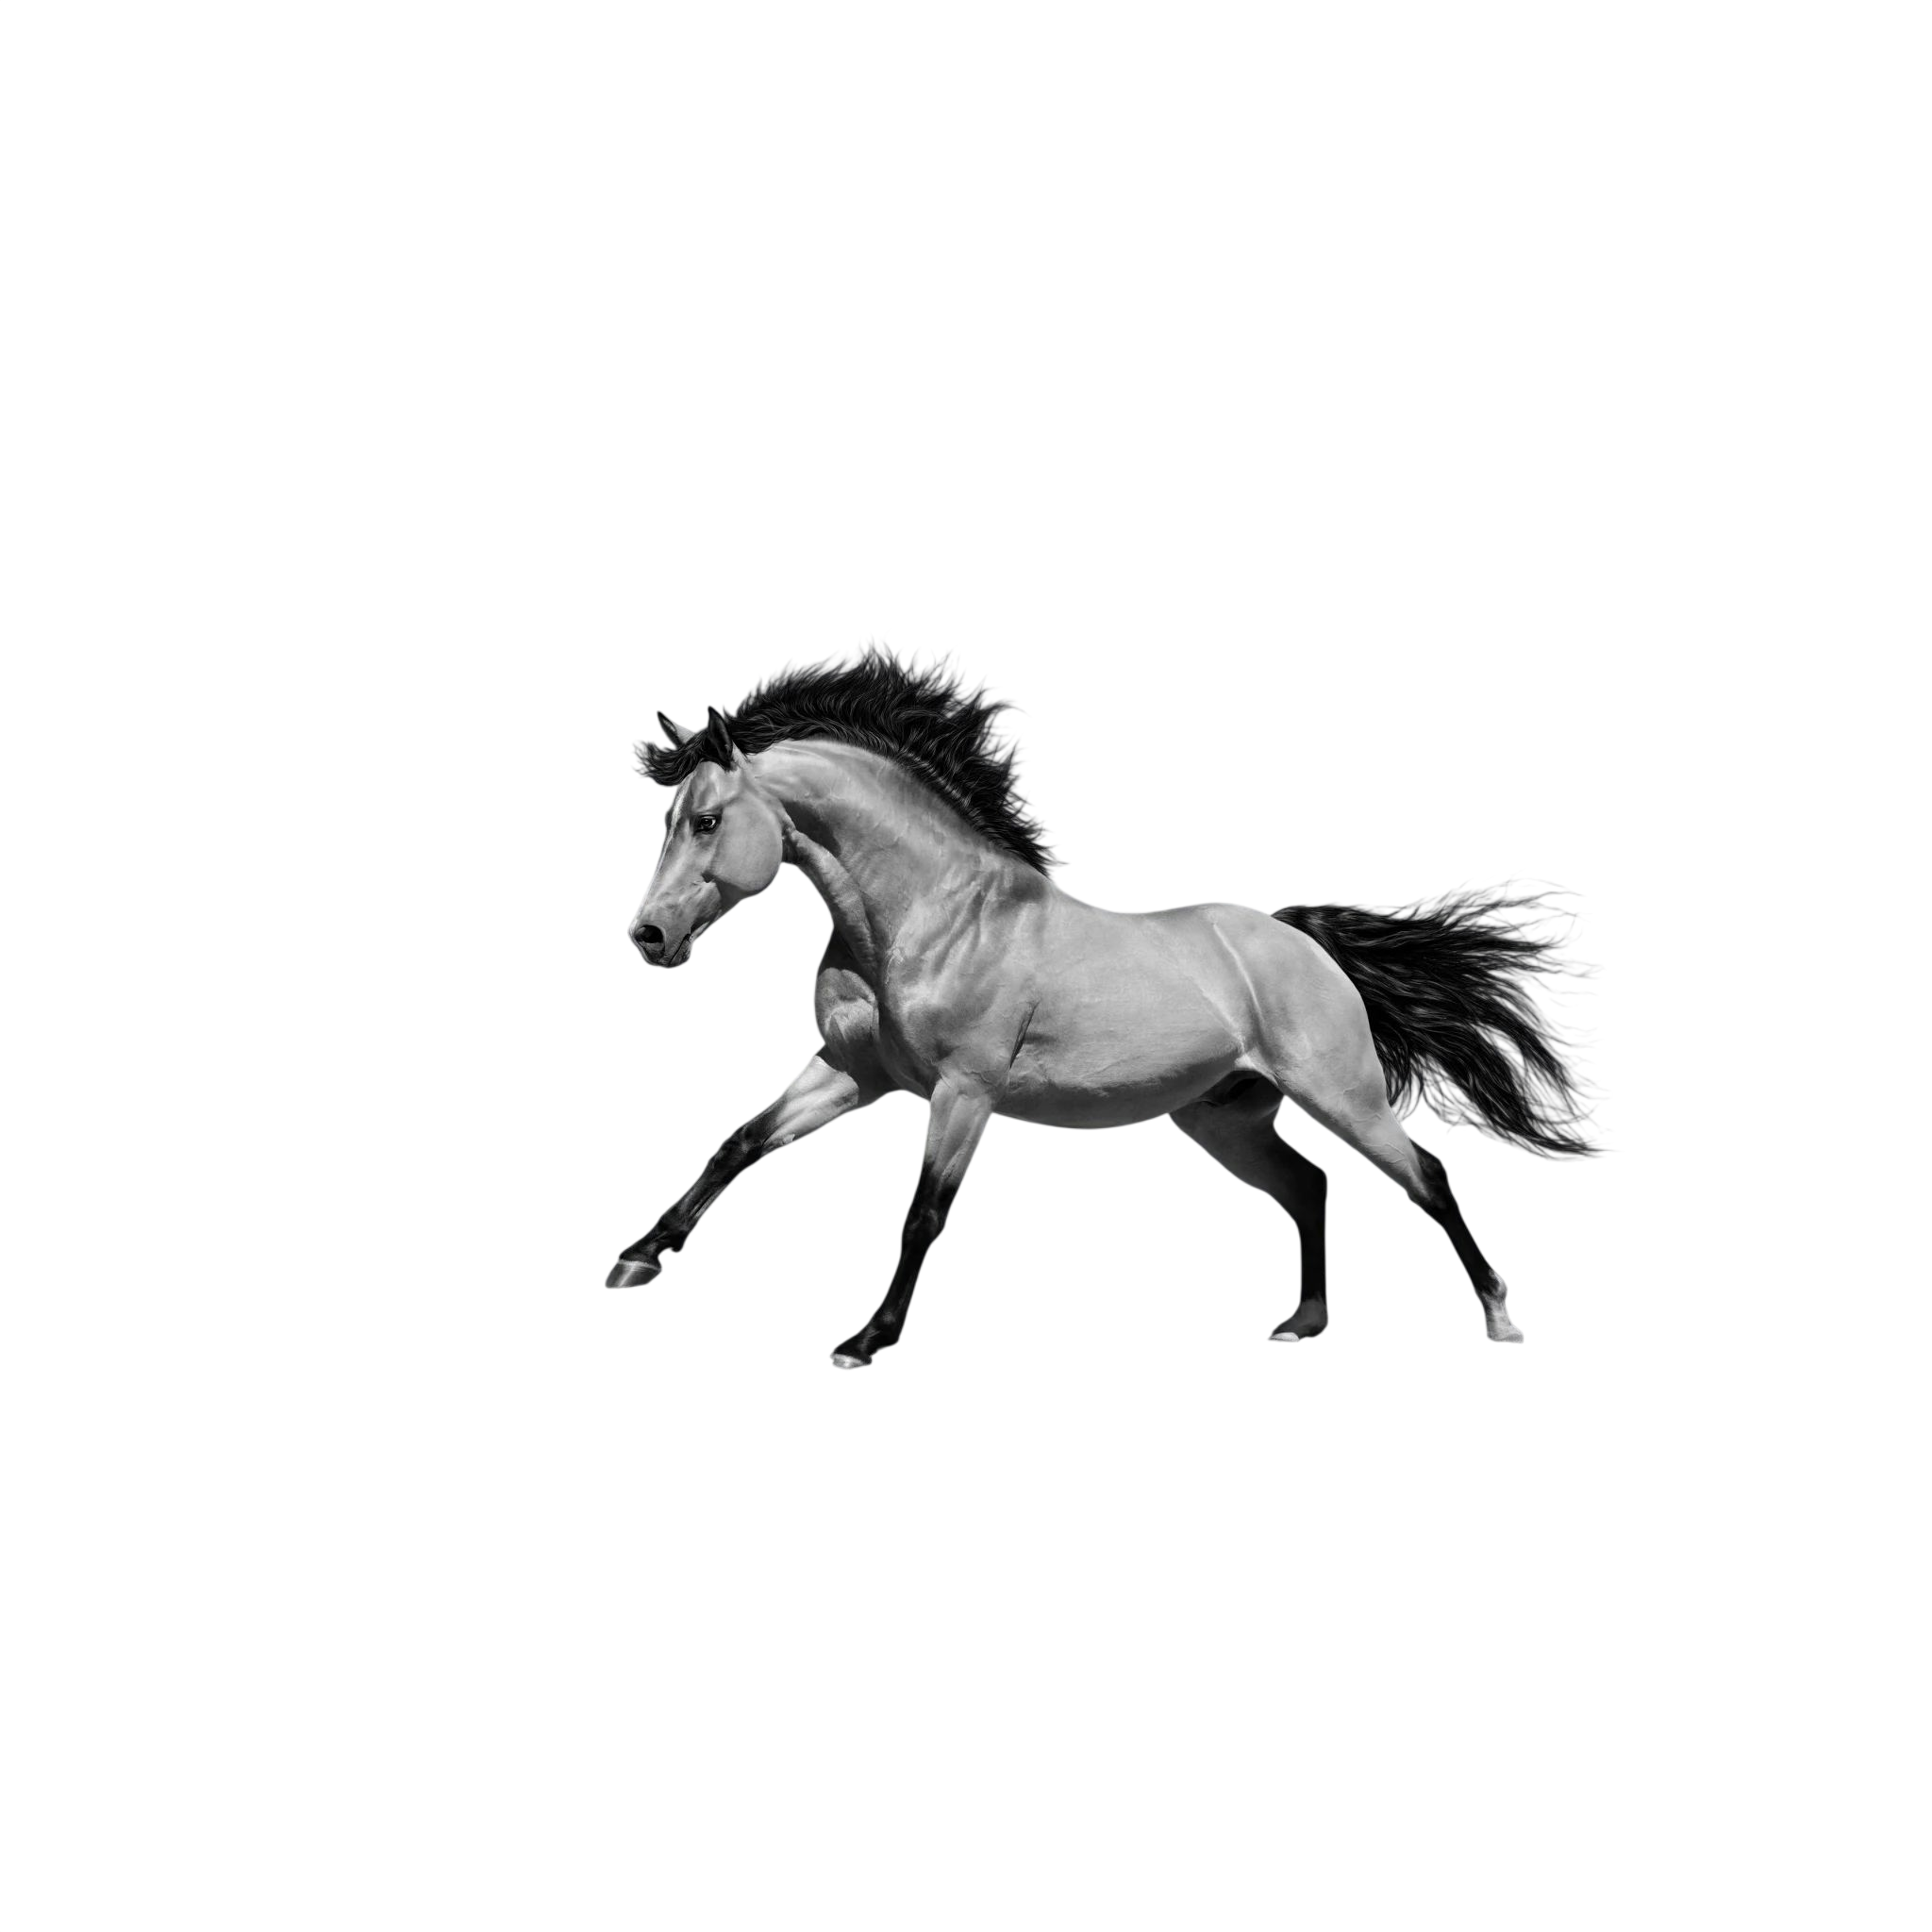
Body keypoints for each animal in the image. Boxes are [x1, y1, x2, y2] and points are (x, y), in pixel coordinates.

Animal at [613, 653, 1575, 1366]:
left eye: (706, 821)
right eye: (674, 818)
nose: (650, 934)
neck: (930, 918)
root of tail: (1297, 940)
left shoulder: (964, 1095)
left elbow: (926, 1207)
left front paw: (865, 1343)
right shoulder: (854, 1077)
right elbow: (741, 1142)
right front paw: (637, 1261)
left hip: (1345, 1097)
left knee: (1426, 1177)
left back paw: (1502, 1324)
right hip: (1224, 1119)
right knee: (1310, 1186)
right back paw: (1300, 1328)